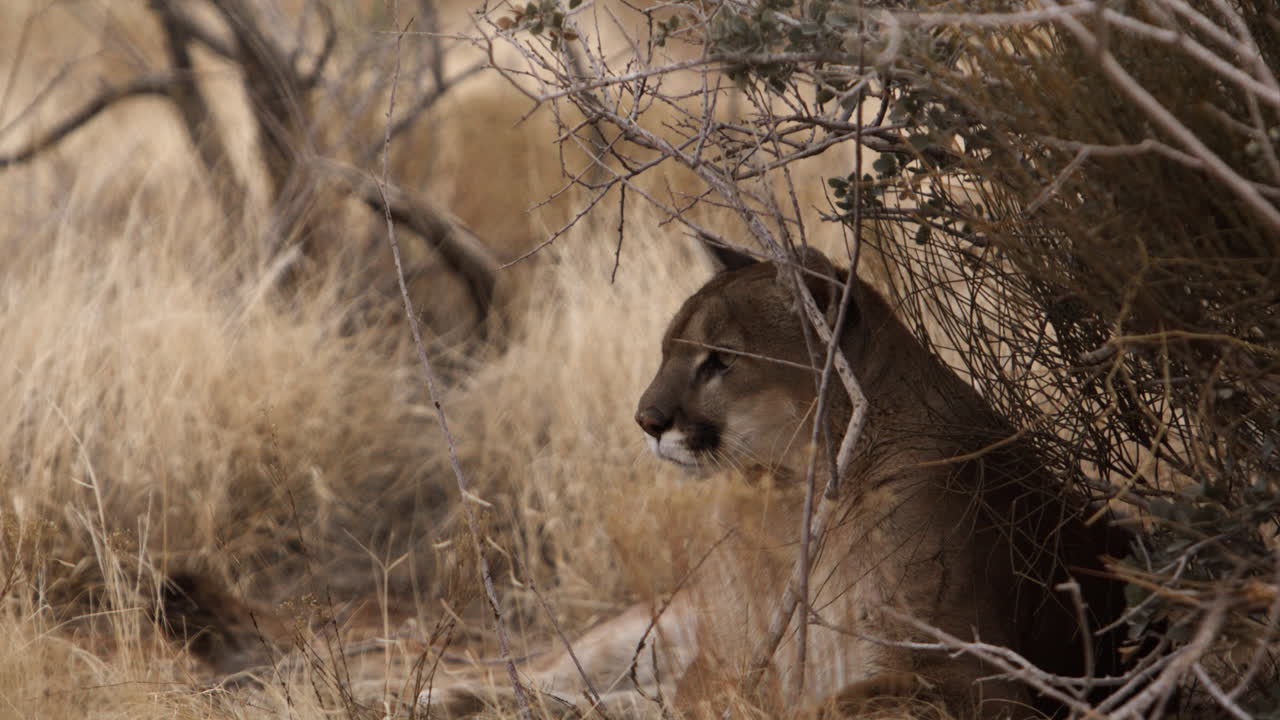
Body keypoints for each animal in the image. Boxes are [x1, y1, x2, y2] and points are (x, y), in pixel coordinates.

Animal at [421, 244, 1132, 719]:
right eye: (665, 349)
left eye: (719, 361)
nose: (645, 420)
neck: (798, 493)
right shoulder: (726, 662)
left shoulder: (971, 673)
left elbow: (835, 702)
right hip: (641, 631)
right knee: (546, 673)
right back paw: (441, 692)